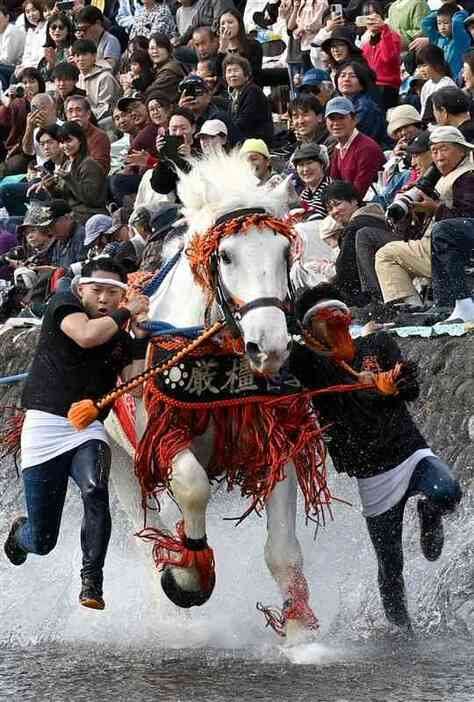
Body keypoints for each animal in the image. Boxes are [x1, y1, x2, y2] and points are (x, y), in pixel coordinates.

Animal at [109, 154, 328, 644]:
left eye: (284, 253)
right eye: (225, 255)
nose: (270, 345)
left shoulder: (273, 433)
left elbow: (282, 549)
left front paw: (301, 634)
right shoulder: (161, 435)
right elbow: (192, 486)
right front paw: (187, 575)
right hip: (113, 454)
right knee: (142, 524)